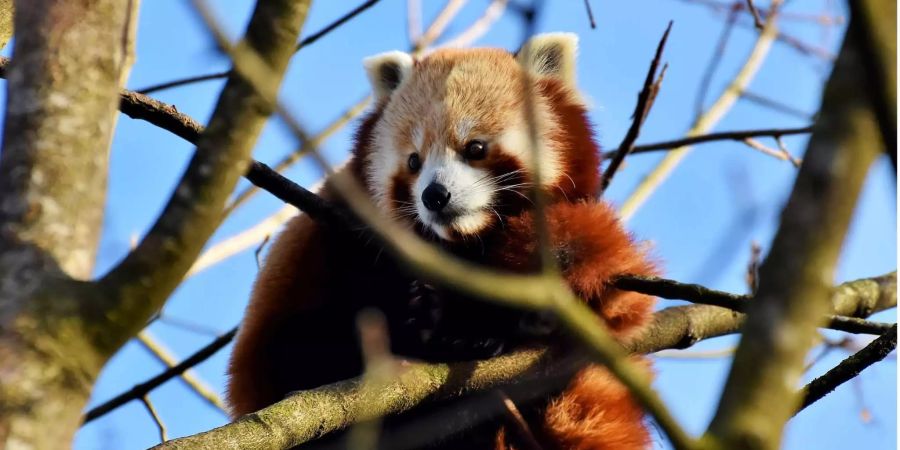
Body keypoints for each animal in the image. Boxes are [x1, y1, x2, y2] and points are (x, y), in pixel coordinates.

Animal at [227, 33, 652, 448]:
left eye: (475, 148)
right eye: (414, 161)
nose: (435, 195)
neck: (465, 243)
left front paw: (486, 327)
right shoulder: (340, 235)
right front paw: (422, 314)